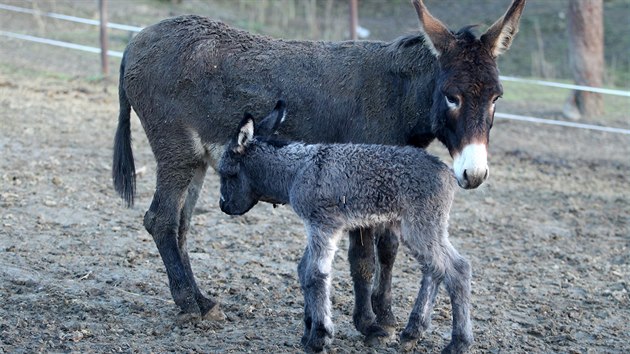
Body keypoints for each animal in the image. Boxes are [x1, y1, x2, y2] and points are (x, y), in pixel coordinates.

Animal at [220, 101, 472, 352]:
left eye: (227, 173)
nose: (224, 206)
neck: (297, 171)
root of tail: (445, 170)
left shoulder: (322, 225)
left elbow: (315, 274)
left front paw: (319, 337)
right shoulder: (317, 227)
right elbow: (303, 270)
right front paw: (308, 331)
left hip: (420, 226)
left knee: (457, 269)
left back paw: (458, 342)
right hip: (415, 227)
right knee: (434, 269)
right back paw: (413, 331)